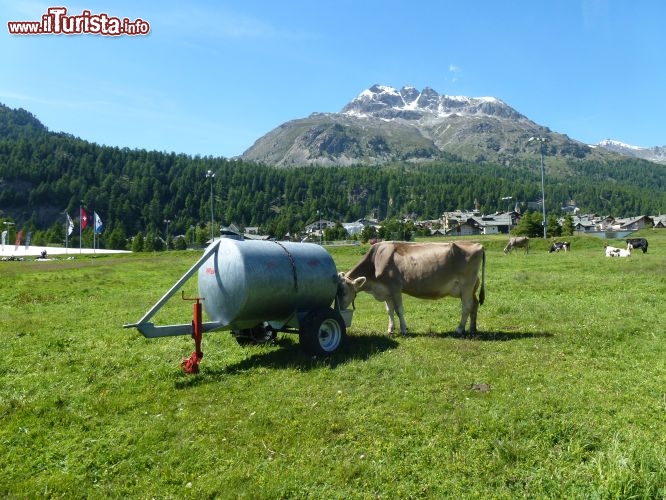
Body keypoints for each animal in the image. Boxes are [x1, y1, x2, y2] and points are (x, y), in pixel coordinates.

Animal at [338, 239, 482, 334]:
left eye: (344, 291)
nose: (340, 309)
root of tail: (476, 244)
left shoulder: (395, 288)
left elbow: (399, 310)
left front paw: (403, 329)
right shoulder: (386, 291)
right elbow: (389, 311)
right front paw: (390, 329)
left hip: (466, 286)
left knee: (467, 306)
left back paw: (459, 329)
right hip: (471, 288)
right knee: (474, 305)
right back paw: (472, 329)